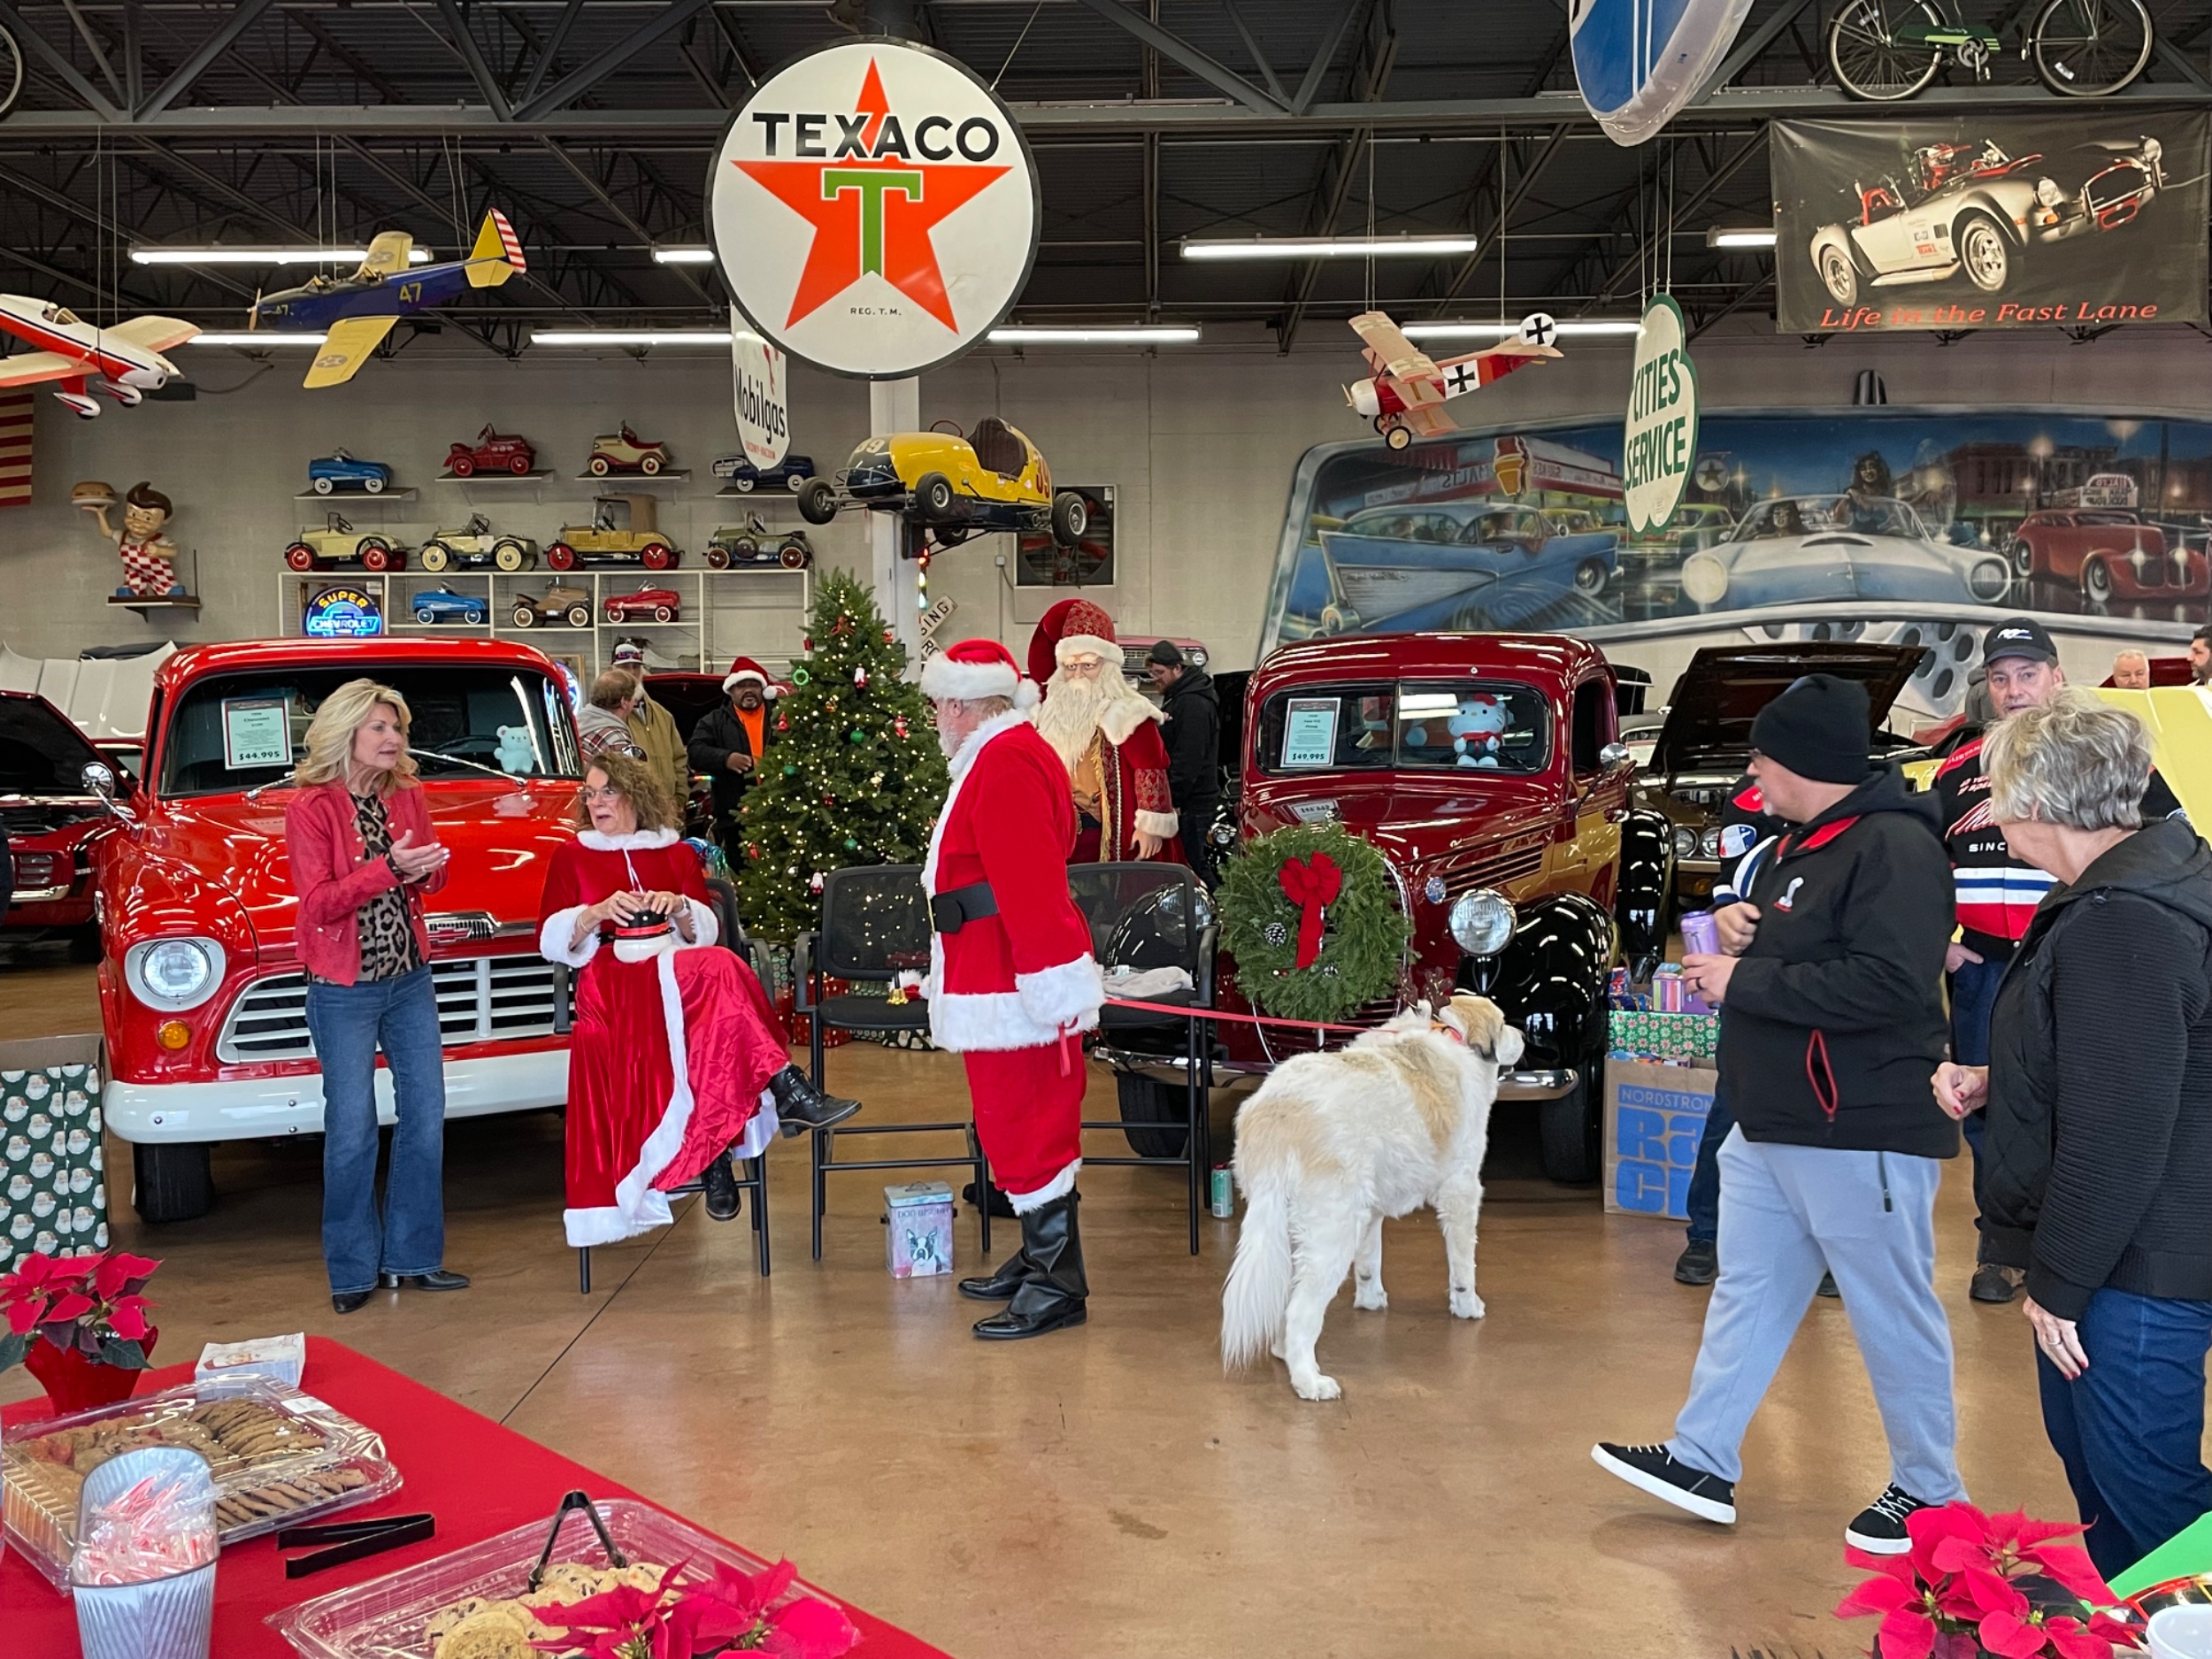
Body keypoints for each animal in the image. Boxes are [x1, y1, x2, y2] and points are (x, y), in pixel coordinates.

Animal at [1220, 993, 1523, 1401]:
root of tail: (1279, 1109)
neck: (1454, 1036)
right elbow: (1463, 1264)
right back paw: (1309, 1381)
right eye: (1504, 1024)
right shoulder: (1461, 1191)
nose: (1523, 1035)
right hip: (1332, 1234)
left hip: (1295, 1226)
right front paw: (1466, 1305)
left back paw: (1286, 1354)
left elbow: (1370, 1261)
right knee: (1301, 1312)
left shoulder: (1371, 1210)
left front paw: (1370, 1299)